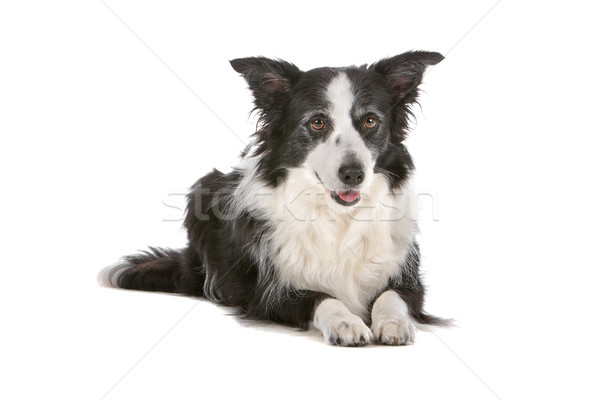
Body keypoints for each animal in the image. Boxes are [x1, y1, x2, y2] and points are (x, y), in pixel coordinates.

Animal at [99, 51, 446, 346]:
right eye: (317, 122)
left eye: (370, 121)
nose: (353, 174)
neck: (335, 216)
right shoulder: (269, 293)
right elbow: (322, 297)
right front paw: (345, 322)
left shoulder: (410, 280)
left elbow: (392, 296)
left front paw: (393, 323)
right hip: (203, 191)